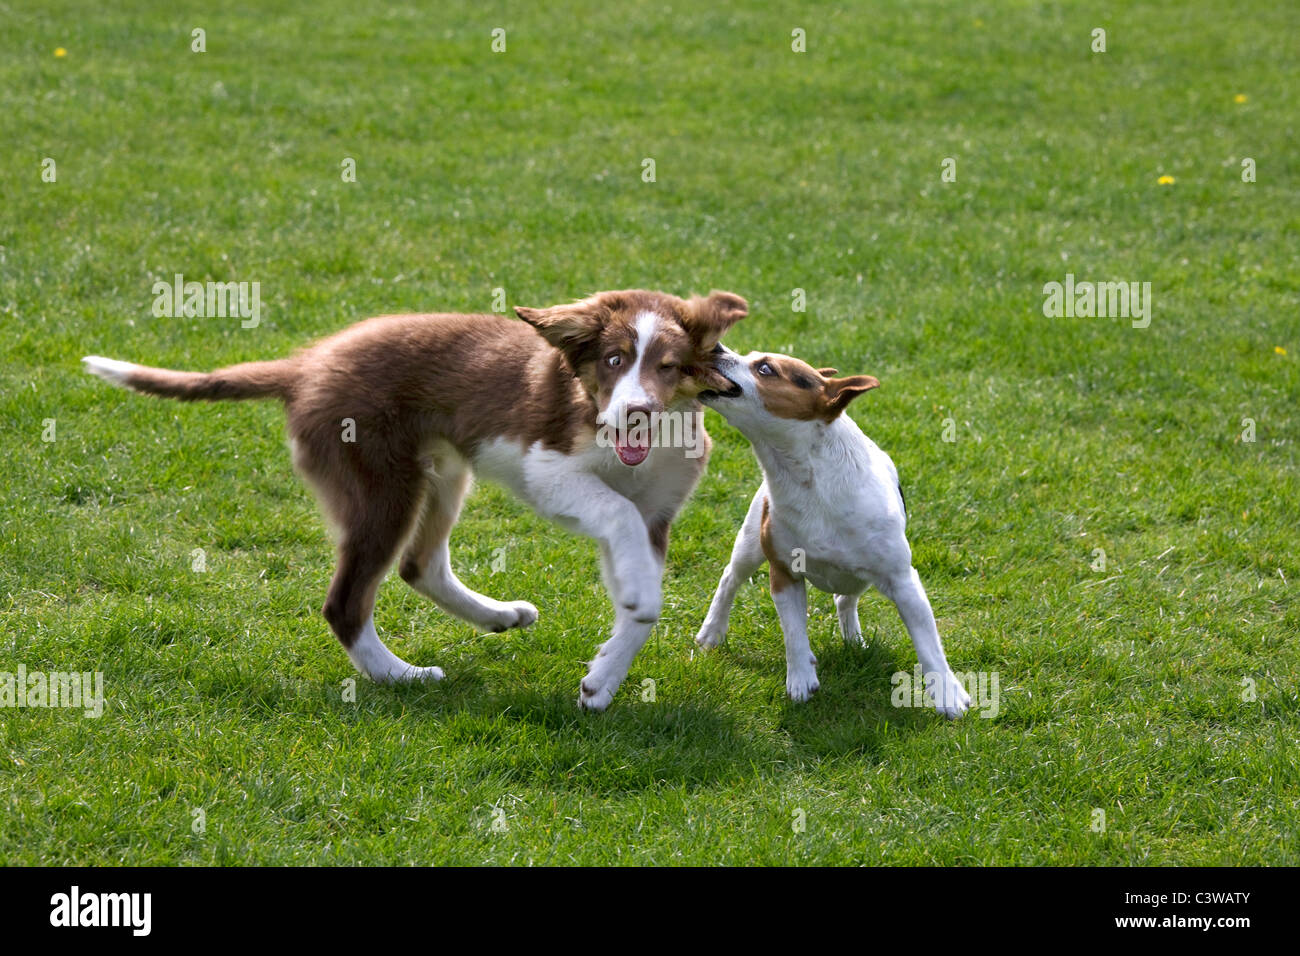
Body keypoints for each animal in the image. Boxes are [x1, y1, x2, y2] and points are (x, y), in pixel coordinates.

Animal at [86, 290, 748, 712]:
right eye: (613, 361)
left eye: (669, 367)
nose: (634, 413)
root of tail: (305, 366)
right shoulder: (548, 467)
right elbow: (618, 514)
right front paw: (630, 616)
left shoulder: (657, 515)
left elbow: (638, 596)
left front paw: (603, 679)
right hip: (381, 485)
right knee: (347, 601)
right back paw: (400, 676)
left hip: (443, 473)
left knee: (418, 565)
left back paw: (495, 615)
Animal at [696, 345, 972, 717]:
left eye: (765, 368)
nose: (716, 347)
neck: (808, 480)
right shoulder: (784, 574)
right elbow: (794, 634)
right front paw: (801, 677)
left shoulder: (902, 580)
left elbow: (929, 643)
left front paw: (947, 693)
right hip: (751, 544)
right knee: (730, 579)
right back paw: (712, 631)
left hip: (862, 576)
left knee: (845, 598)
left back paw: (853, 639)